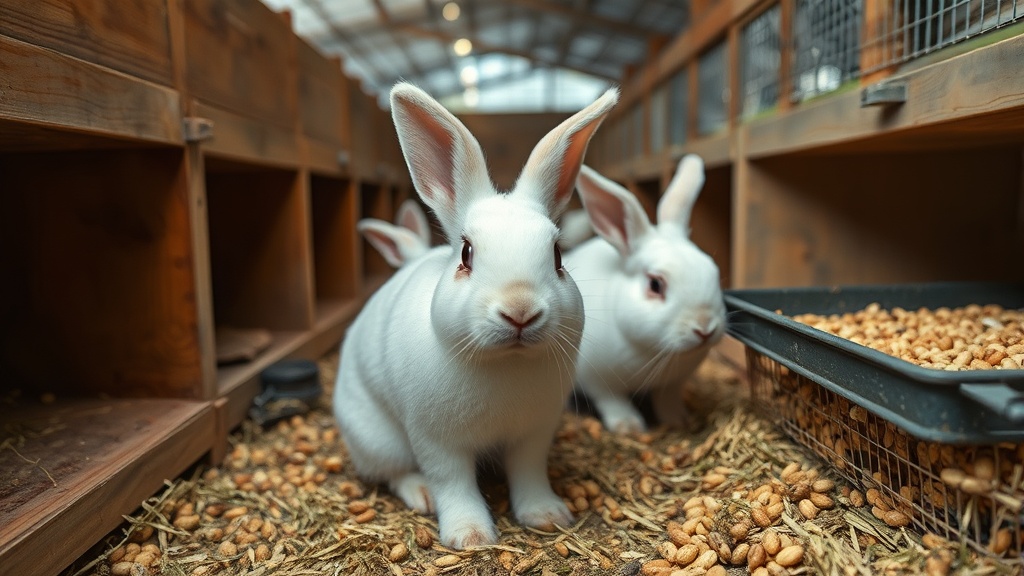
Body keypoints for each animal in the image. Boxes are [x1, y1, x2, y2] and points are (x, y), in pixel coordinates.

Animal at [333, 82, 618, 549]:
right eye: (466, 254)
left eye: (558, 256)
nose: (520, 310)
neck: (505, 364)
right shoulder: (437, 441)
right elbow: (453, 483)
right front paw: (470, 536)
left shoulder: (533, 435)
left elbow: (528, 474)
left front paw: (548, 516)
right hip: (377, 438)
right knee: (393, 472)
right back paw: (421, 493)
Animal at [564, 154, 727, 434]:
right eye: (655, 285)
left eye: (713, 270)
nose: (705, 328)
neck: (654, 351)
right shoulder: (597, 380)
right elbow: (613, 401)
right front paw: (629, 427)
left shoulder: (673, 384)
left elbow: (667, 399)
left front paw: (678, 420)